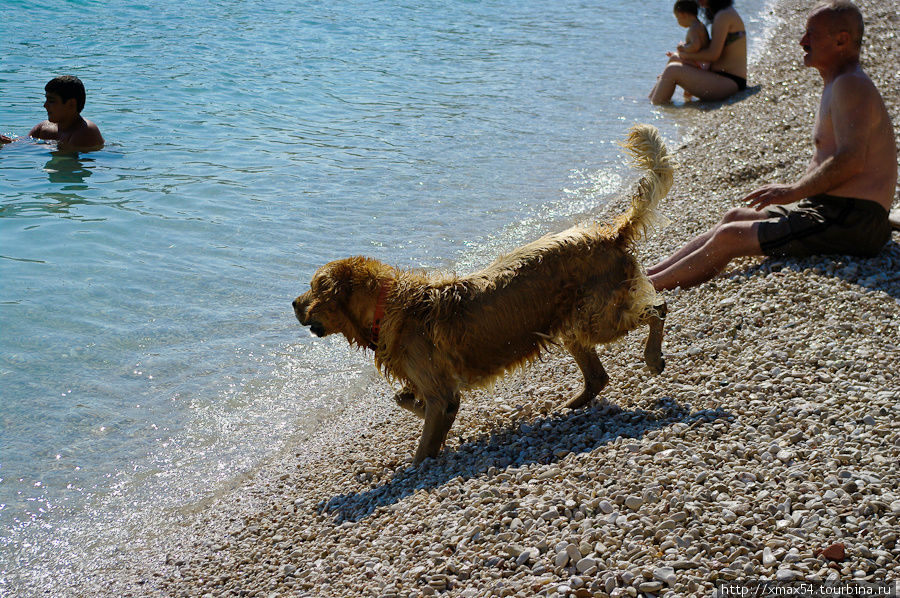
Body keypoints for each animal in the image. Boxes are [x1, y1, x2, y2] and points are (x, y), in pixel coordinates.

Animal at [292, 124, 672, 466]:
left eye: (313, 288)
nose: (293, 303)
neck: (389, 306)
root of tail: (609, 233)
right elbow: (405, 399)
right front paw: (415, 408)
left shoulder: (441, 393)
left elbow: (424, 443)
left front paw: (415, 467)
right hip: (570, 322)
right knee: (598, 375)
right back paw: (570, 406)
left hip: (596, 316)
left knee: (659, 308)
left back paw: (653, 357)